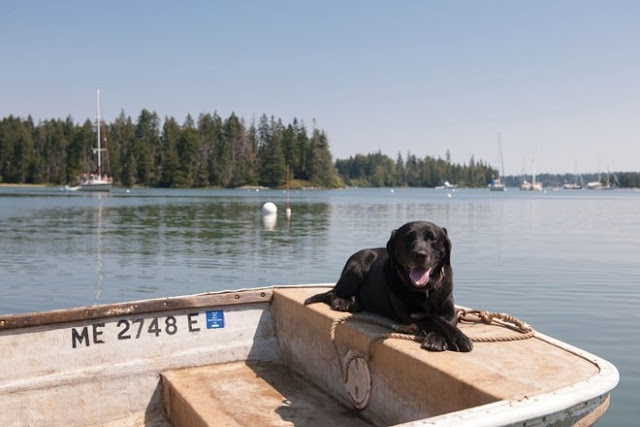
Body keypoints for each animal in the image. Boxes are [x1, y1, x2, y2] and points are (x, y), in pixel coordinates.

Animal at [304, 221, 472, 352]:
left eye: (432, 238)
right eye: (408, 237)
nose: (420, 254)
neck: (425, 290)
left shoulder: (450, 312)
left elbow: (444, 320)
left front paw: (438, 338)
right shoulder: (409, 316)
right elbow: (433, 319)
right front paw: (455, 338)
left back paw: (355, 303)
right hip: (356, 267)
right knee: (332, 292)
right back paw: (343, 302)